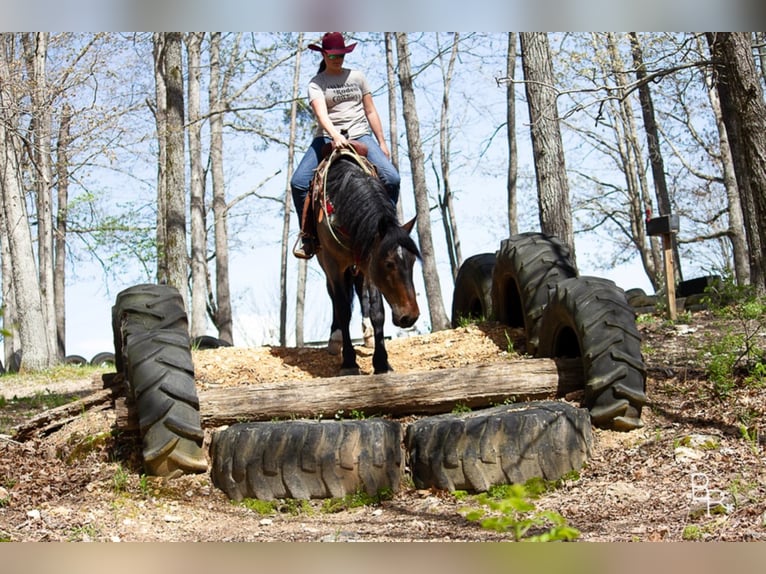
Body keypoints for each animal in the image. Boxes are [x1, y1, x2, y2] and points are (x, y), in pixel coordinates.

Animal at [310, 146, 420, 376]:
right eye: (388, 263)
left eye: (413, 261)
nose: (410, 316)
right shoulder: (334, 265)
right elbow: (343, 309)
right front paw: (349, 363)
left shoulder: (368, 263)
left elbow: (377, 310)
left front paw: (382, 363)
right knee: (335, 297)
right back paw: (336, 339)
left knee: (361, 294)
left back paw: (367, 335)